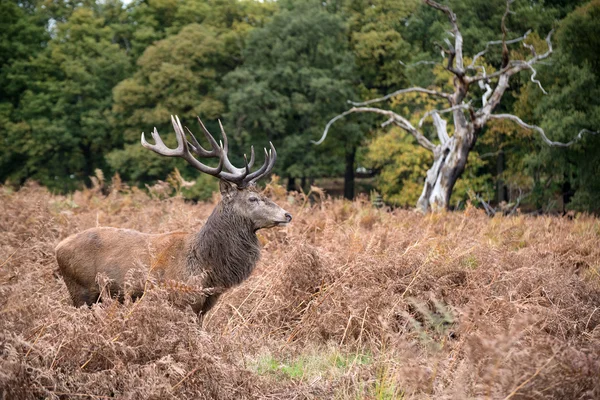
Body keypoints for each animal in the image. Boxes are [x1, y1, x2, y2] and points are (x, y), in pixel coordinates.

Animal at [56, 115, 292, 316]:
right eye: (252, 199)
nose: (287, 214)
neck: (207, 268)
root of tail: (58, 247)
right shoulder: (180, 300)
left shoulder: (203, 307)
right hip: (81, 291)